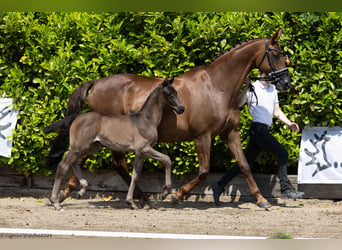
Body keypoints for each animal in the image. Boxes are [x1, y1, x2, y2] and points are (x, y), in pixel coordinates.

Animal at [44, 28, 292, 209]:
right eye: (276, 54)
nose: (286, 82)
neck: (217, 87)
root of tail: (96, 83)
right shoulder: (203, 136)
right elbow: (203, 171)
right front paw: (175, 196)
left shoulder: (230, 133)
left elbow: (244, 165)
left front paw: (261, 200)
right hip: (109, 140)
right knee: (111, 164)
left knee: (87, 160)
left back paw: (72, 193)